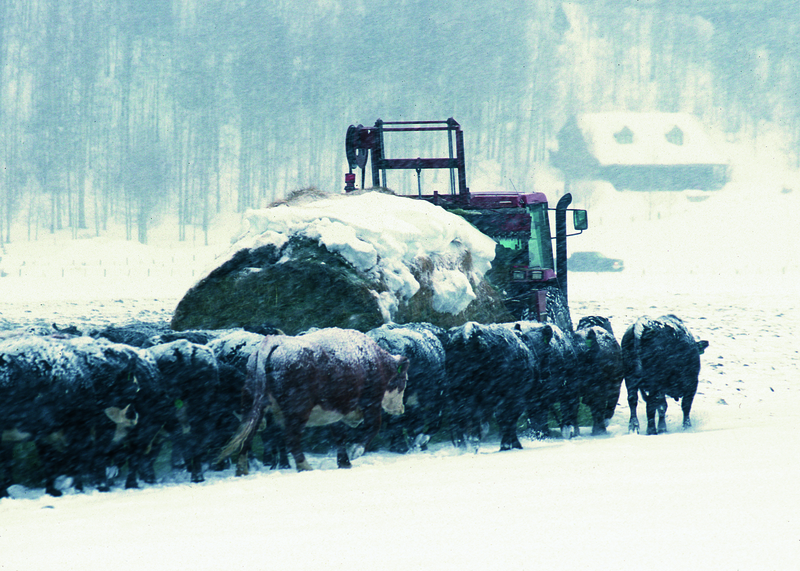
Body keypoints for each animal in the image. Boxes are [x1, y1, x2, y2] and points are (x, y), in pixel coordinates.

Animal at [444, 324, 536, 454]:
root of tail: (468, 332)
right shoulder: (515, 398)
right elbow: (508, 420)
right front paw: (509, 445)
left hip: (457, 395)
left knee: (459, 421)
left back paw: (464, 447)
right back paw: (474, 445)